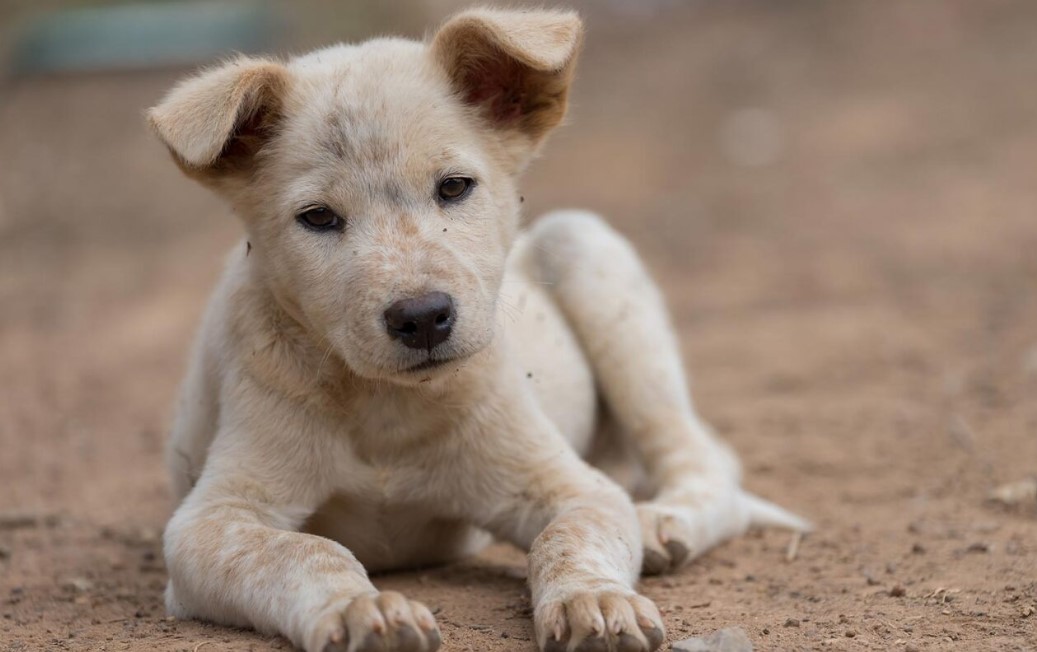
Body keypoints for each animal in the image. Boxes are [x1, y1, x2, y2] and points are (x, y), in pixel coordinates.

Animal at [150, 6, 804, 650]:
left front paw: (594, 601)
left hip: (589, 253)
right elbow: (305, 552)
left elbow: (566, 538)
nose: (421, 317)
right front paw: (365, 611)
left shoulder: (569, 486)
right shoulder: (212, 521)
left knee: (705, 462)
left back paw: (663, 523)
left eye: (454, 186)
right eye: (317, 218)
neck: (387, 407)